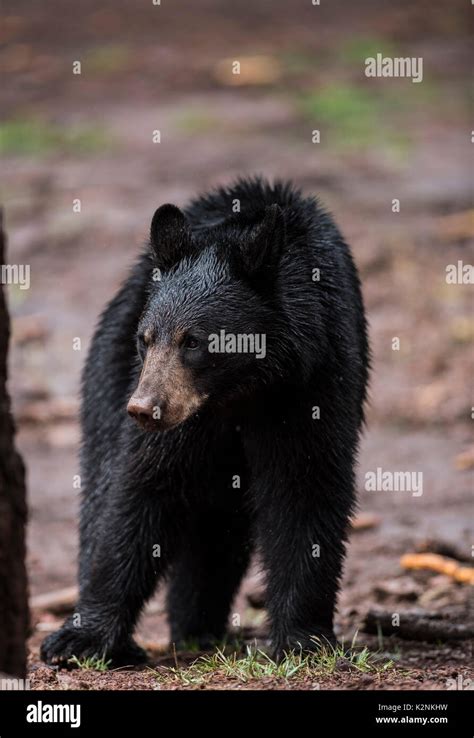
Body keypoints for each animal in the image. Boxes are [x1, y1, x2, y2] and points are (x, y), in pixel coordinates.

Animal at [41, 175, 370, 664]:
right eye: (146, 338)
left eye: (194, 341)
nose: (143, 408)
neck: (243, 389)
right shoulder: (179, 417)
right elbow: (140, 488)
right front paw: (80, 638)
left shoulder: (316, 382)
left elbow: (306, 487)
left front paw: (303, 640)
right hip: (107, 374)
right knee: (103, 484)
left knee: (218, 529)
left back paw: (199, 627)